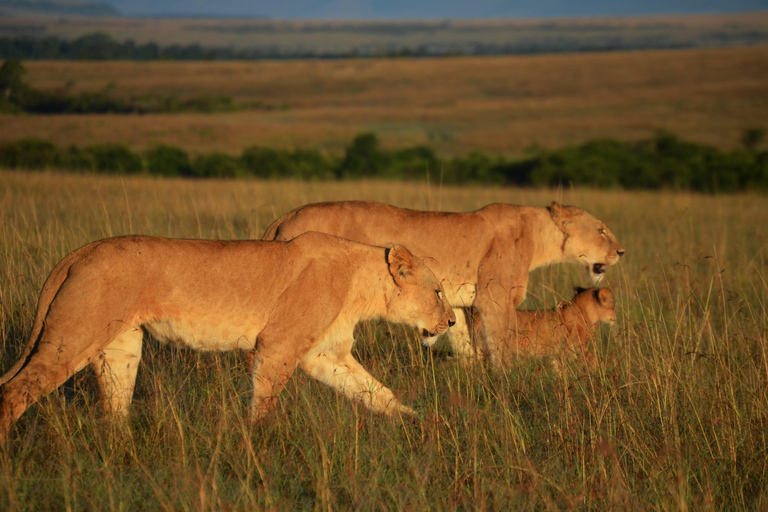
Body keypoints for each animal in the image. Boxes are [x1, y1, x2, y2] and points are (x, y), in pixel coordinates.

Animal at [0, 232, 456, 440]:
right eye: (437, 292)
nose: (452, 322)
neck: (362, 284)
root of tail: (83, 251)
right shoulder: (278, 344)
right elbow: (265, 399)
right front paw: (261, 443)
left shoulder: (326, 356)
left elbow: (377, 393)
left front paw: (425, 424)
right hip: (74, 336)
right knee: (14, 390)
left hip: (121, 346)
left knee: (114, 408)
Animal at [264, 200, 624, 364]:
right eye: (602, 230)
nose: (621, 251)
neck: (538, 236)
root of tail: (286, 215)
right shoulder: (494, 300)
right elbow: (503, 348)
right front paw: (509, 386)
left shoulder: (462, 305)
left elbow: (464, 344)